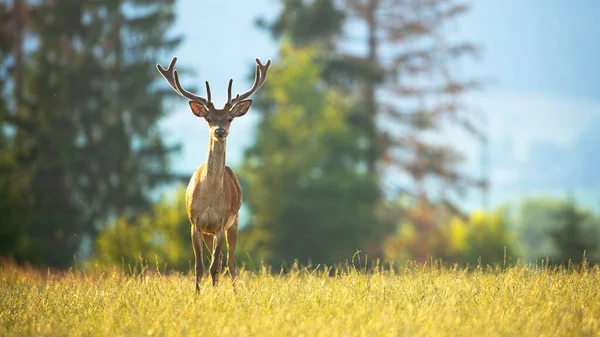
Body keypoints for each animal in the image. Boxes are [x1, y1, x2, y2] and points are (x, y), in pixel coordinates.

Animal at [158, 56, 274, 290]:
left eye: (229, 118)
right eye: (208, 118)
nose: (219, 131)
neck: (209, 198)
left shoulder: (221, 223)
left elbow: (214, 266)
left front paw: (213, 293)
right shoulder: (195, 224)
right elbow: (199, 267)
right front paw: (197, 294)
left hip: (234, 222)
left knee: (229, 263)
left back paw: (234, 292)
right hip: (208, 232)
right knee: (218, 260)